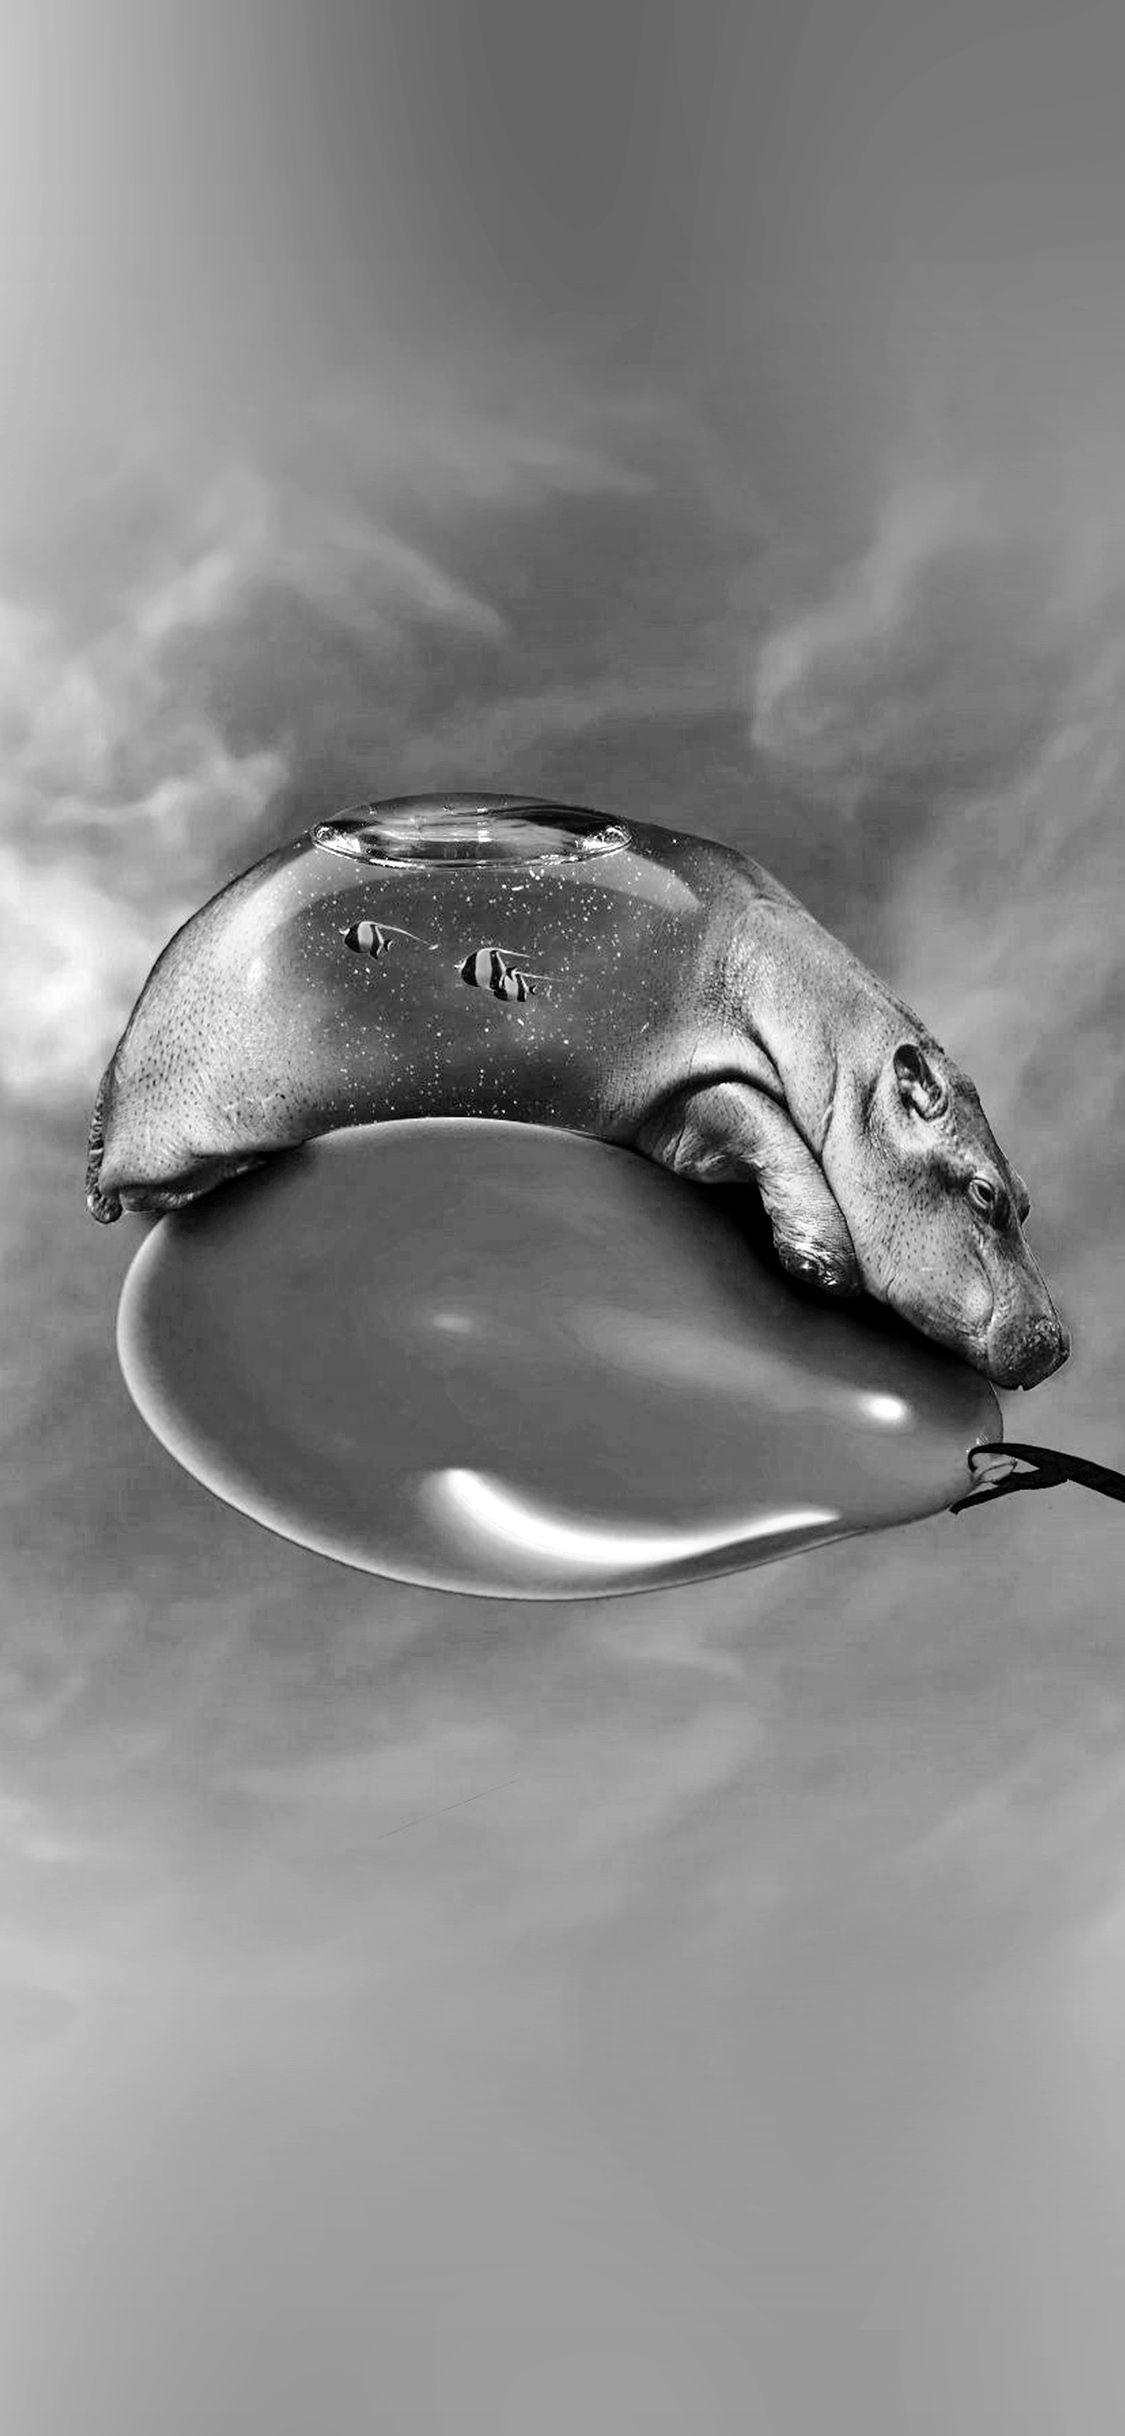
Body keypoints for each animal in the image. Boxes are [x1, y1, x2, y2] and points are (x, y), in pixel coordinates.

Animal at [85, 793, 1069, 1392]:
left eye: (1025, 1197)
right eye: (983, 1194)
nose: (1058, 1345)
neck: (836, 1056)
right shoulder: (687, 1082)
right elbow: (761, 1120)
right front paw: (822, 1261)